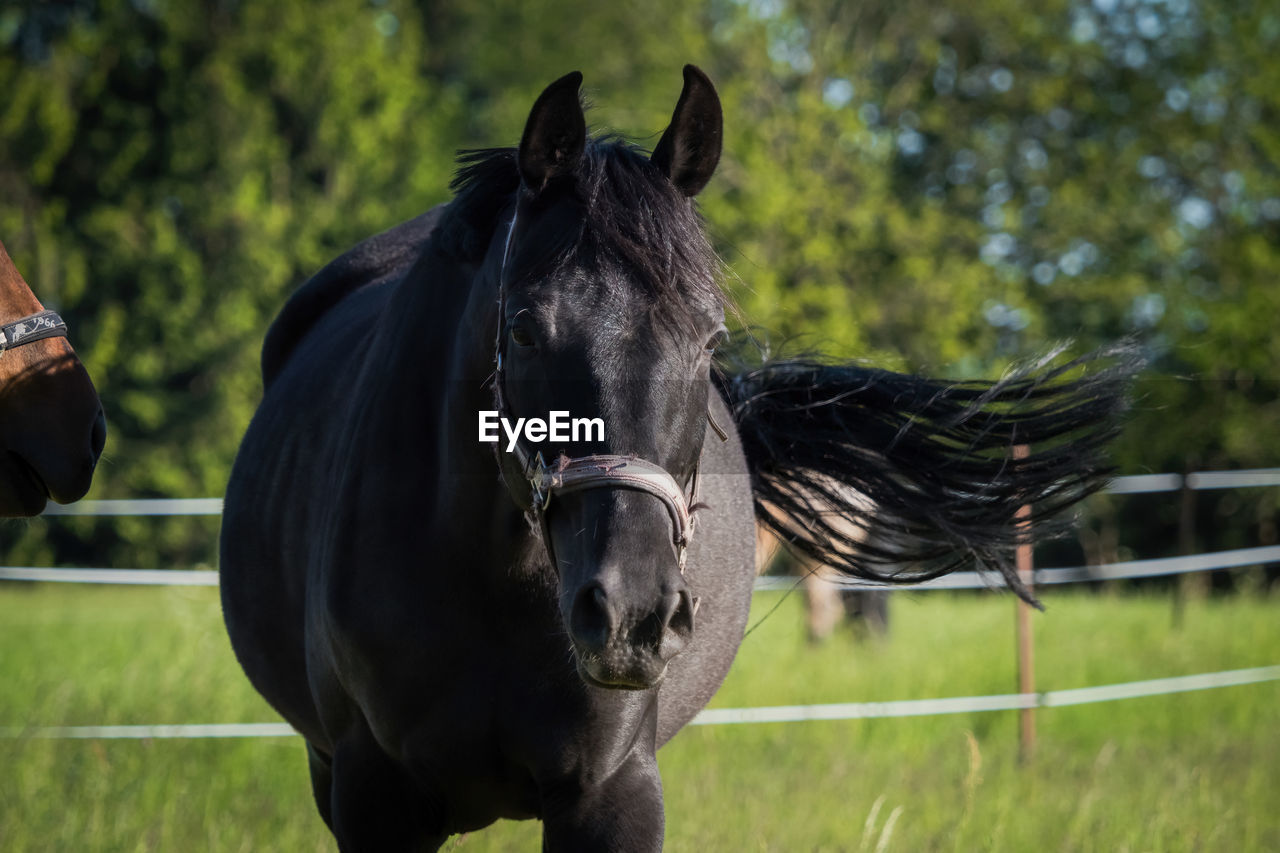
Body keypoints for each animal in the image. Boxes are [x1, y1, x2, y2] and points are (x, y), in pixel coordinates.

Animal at [222, 68, 1141, 850]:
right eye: (524, 327)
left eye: (708, 339)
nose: (631, 612)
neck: (496, 582)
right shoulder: (372, 795)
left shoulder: (614, 794)